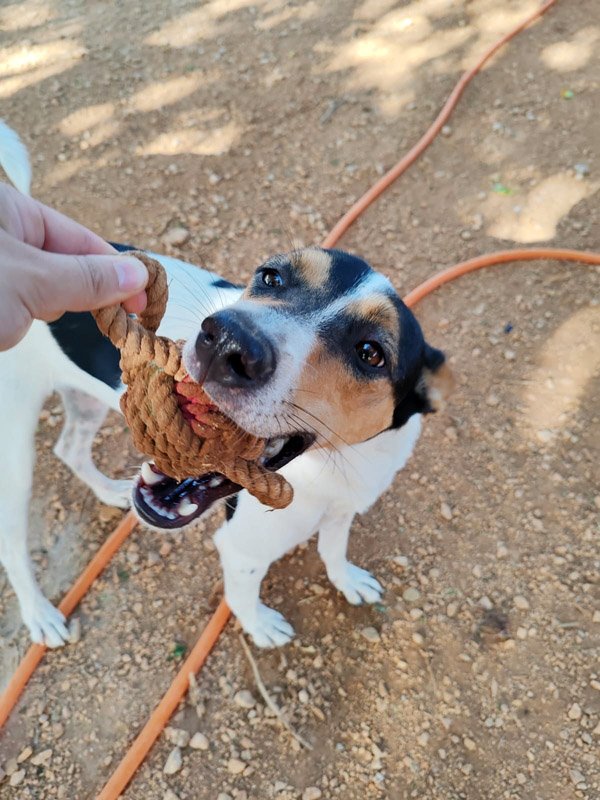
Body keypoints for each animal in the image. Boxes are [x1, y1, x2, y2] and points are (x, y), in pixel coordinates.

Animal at [0, 122, 450, 648]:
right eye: (271, 276)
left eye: (371, 352)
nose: (227, 341)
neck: (336, 467)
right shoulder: (244, 547)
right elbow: (242, 593)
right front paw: (259, 625)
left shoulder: (344, 510)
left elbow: (334, 549)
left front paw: (347, 580)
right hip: (12, 455)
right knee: (13, 546)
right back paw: (39, 615)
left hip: (84, 401)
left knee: (69, 448)